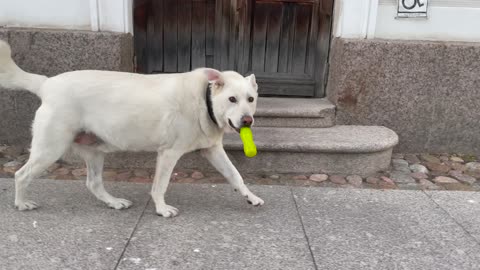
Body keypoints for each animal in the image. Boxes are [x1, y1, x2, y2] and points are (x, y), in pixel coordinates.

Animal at [0, 40, 262, 217]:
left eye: (250, 99)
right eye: (231, 99)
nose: (247, 121)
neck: (204, 99)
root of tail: (47, 83)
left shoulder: (212, 150)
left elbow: (235, 176)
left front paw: (251, 197)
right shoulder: (168, 154)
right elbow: (160, 185)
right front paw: (161, 209)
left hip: (93, 152)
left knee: (93, 183)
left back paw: (114, 202)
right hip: (50, 150)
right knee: (21, 175)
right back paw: (22, 203)